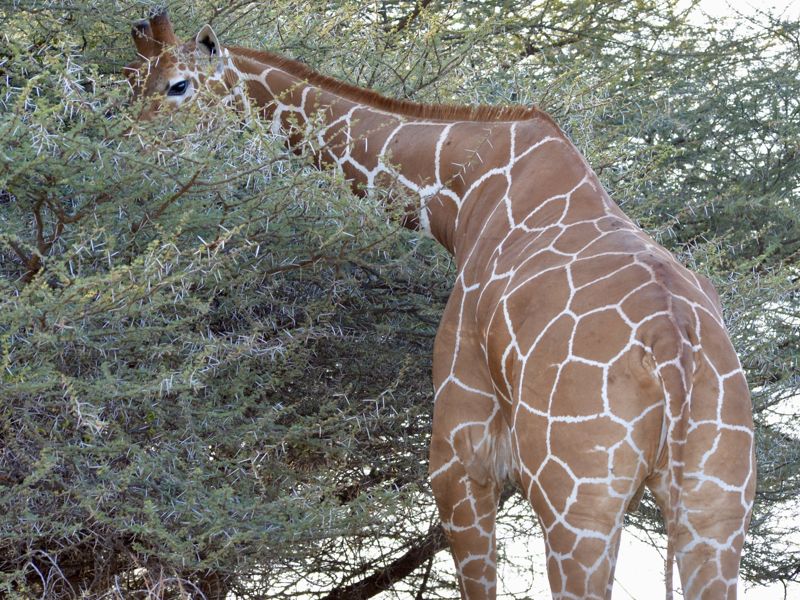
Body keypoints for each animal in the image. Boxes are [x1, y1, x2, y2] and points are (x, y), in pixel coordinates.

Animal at [126, 11, 757, 599]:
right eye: (135, 80)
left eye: (178, 85)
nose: (133, 144)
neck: (458, 197)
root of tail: (673, 350)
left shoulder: (459, 454)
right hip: (716, 503)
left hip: (579, 499)